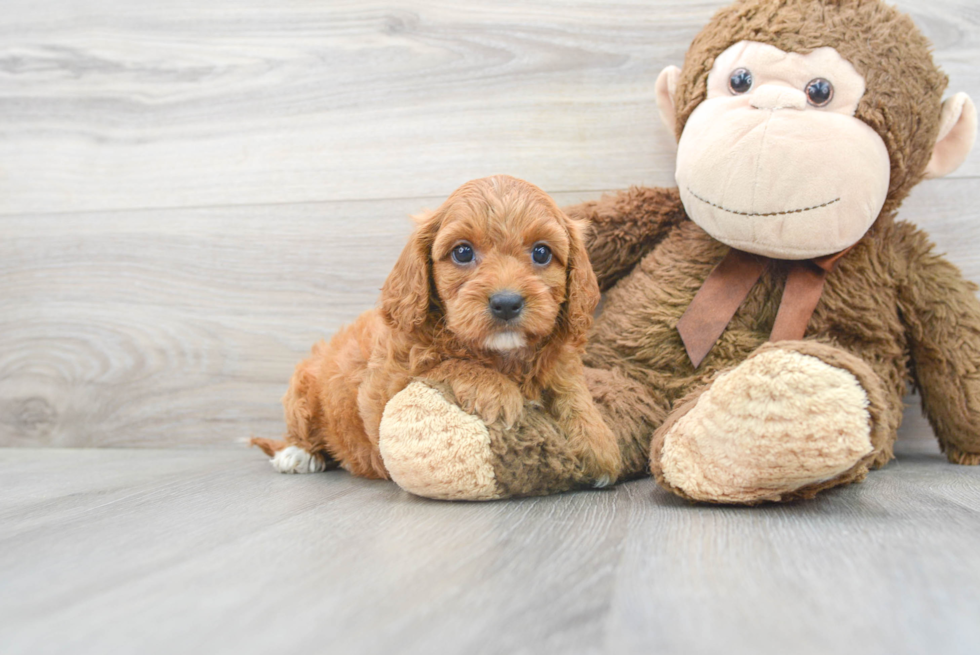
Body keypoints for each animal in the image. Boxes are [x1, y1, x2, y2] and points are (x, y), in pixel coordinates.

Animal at [253, 174, 620, 486]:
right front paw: (498, 392)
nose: (506, 303)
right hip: (303, 390)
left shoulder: (561, 363)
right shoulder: (386, 390)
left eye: (542, 253)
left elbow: (573, 393)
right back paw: (297, 454)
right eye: (463, 252)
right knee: (300, 432)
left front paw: (598, 442)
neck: (503, 356)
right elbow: (446, 364)